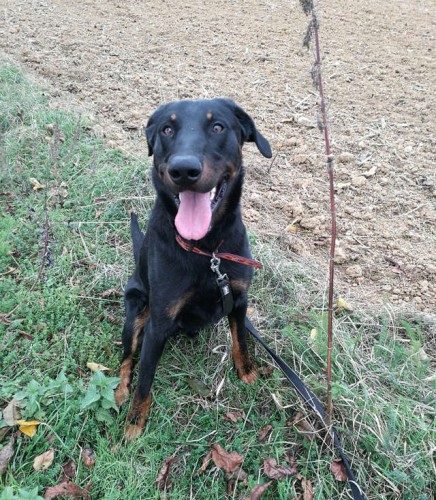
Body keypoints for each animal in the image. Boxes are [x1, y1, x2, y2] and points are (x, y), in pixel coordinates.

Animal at [114, 96, 270, 438]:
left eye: (218, 127)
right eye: (167, 129)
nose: (184, 170)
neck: (207, 249)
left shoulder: (239, 299)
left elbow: (241, 340)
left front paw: (247, 372)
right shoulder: (158, 323)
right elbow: (145, 380)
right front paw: (134, 424)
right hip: (136, 311)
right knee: (126, 357)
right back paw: (119, 390)